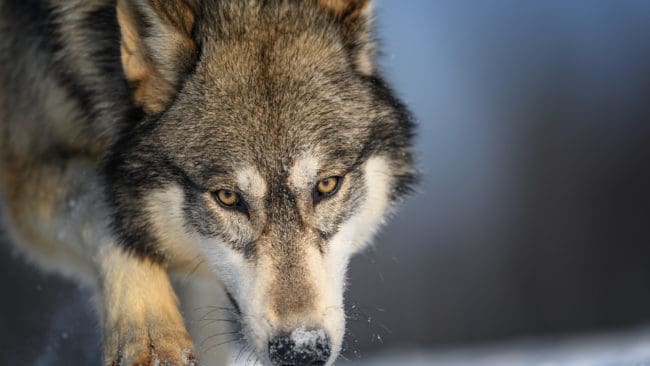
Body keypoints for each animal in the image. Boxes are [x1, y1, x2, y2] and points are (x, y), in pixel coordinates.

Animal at [0, 0, 412, 364]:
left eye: (327, 186)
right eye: (228, 197)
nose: (301, 350)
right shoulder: (26, 173)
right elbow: (101, 202)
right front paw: (151, 334)